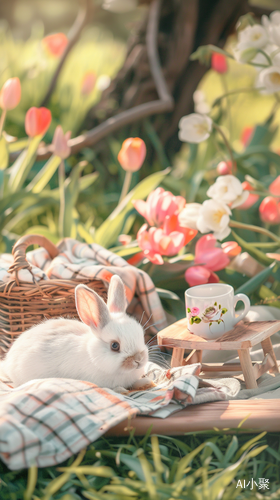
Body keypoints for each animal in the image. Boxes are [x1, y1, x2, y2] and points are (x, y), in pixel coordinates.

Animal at [0, 276, 151, 392]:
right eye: (114, 346)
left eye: (141, 335)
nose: (138, 359)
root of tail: (7, 361)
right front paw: (121, 390)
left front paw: (146, 383)